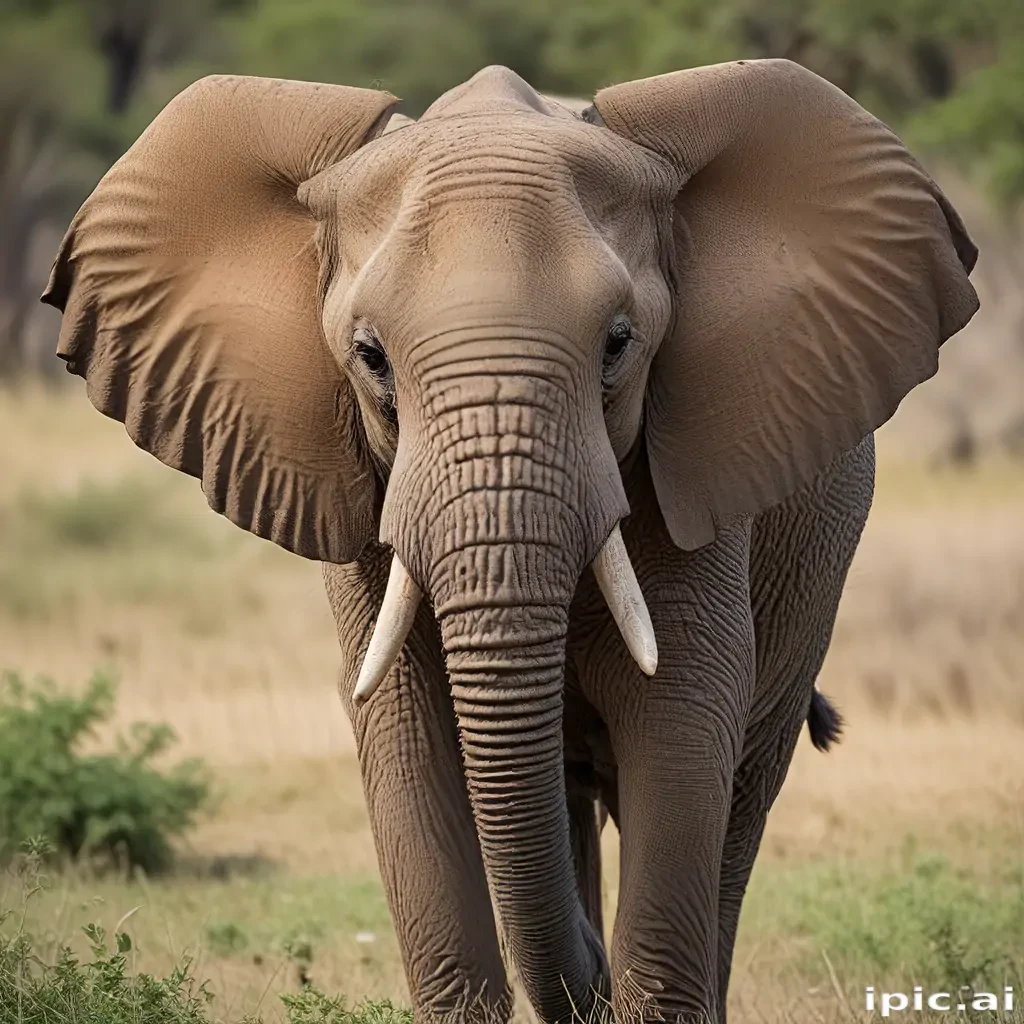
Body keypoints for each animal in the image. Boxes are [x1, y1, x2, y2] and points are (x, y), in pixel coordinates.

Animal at [42, 60, 978, 1024]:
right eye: (370, 357)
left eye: (619, 345)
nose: (592, 972)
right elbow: (403, 731)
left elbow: (682, 715)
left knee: (741, 795)